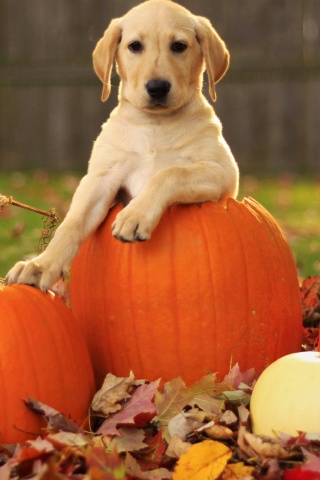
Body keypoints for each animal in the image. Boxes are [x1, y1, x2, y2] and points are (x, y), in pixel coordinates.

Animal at [6, 0, 239, 292]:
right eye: (135, 46)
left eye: (179, 46)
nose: (157, 87)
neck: (155, 125)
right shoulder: (101, 178)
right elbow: (73, 221)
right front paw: (41, 265)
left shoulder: (222, 171)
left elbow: (170, 173)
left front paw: (134, 215)